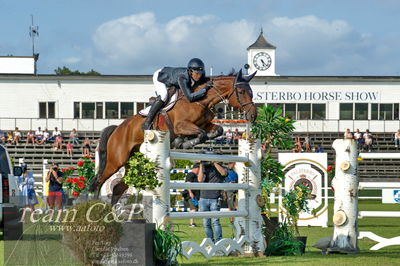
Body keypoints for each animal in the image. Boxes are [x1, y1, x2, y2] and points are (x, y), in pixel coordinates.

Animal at [89, 69, 258, 204]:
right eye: (241, 92)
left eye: (251, 92)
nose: (253, 115)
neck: (200, 100)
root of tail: (117, 128)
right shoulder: (181, 125)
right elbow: (200, 133)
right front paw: (184, 143)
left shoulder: (204, 124)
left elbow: (217, 130)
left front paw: (185, 141)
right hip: (116, 161)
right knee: (98, 181)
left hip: (133, 163)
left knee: (118, 188)